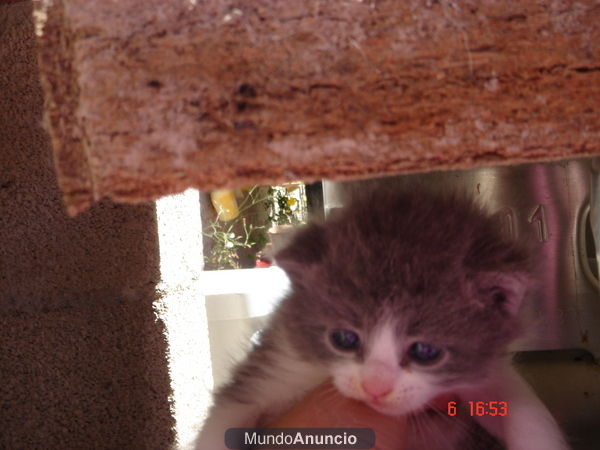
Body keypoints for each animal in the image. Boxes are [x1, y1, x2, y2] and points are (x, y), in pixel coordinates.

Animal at [198, 190, 572, 450]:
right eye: (344, 339)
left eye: (425, 351)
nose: (375, 388)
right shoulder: (280, 363)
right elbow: (224, 418)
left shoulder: (486, 371)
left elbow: (524, 407)